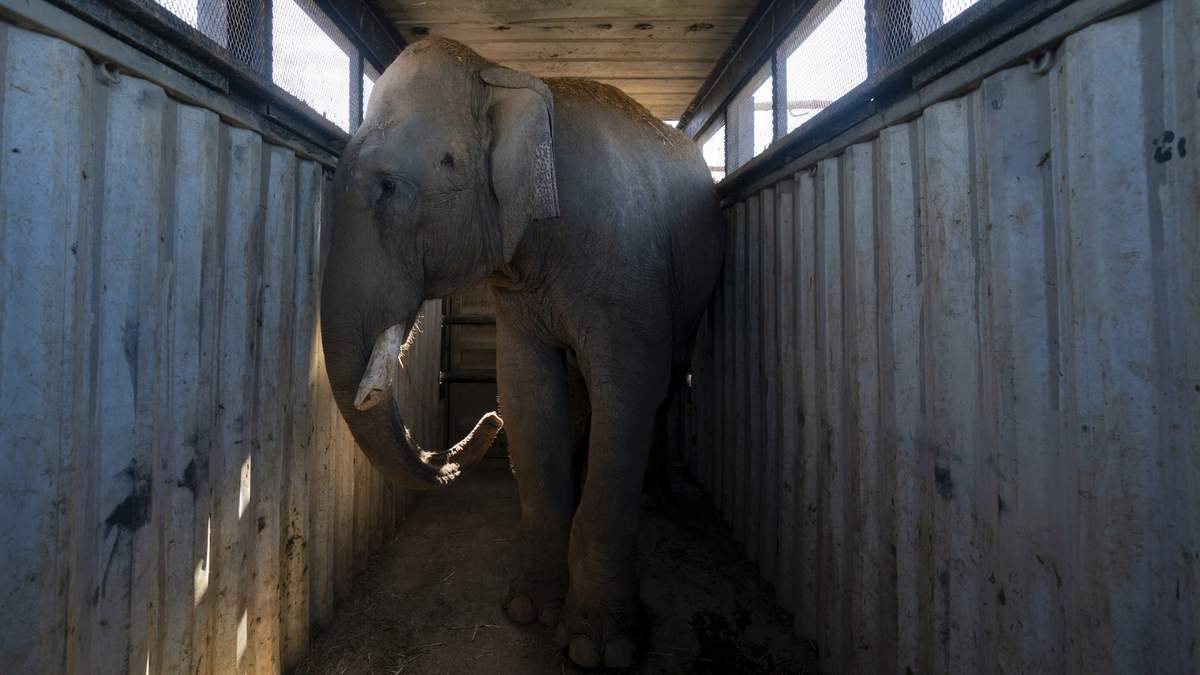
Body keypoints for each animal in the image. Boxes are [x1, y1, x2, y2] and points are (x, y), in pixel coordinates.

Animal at [320, 37, 724, 669]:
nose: (485, 422)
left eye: (386, 187)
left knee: (668, 384)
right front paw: (528, 610)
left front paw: (600, 647)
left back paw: (657, 498)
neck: (508, 76)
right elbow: (526, 391)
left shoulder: (630, 271)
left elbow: (631, 390)